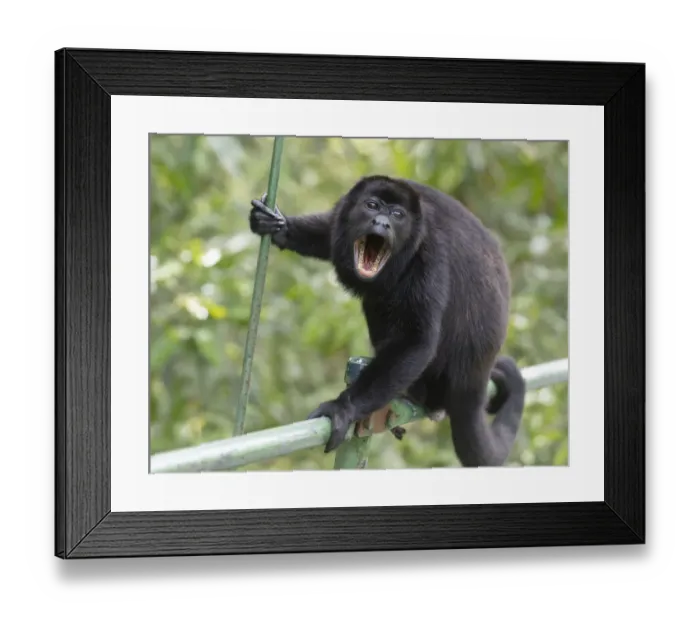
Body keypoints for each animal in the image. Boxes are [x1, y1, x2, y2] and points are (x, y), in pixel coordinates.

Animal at [248, 175, 526, 467]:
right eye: (372, 205)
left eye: (397, 215)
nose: (382, 223)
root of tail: (474, 382)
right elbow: (328, 232)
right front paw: (279, 225)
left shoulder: (429, 252)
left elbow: (416, 340)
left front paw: (342, 407)